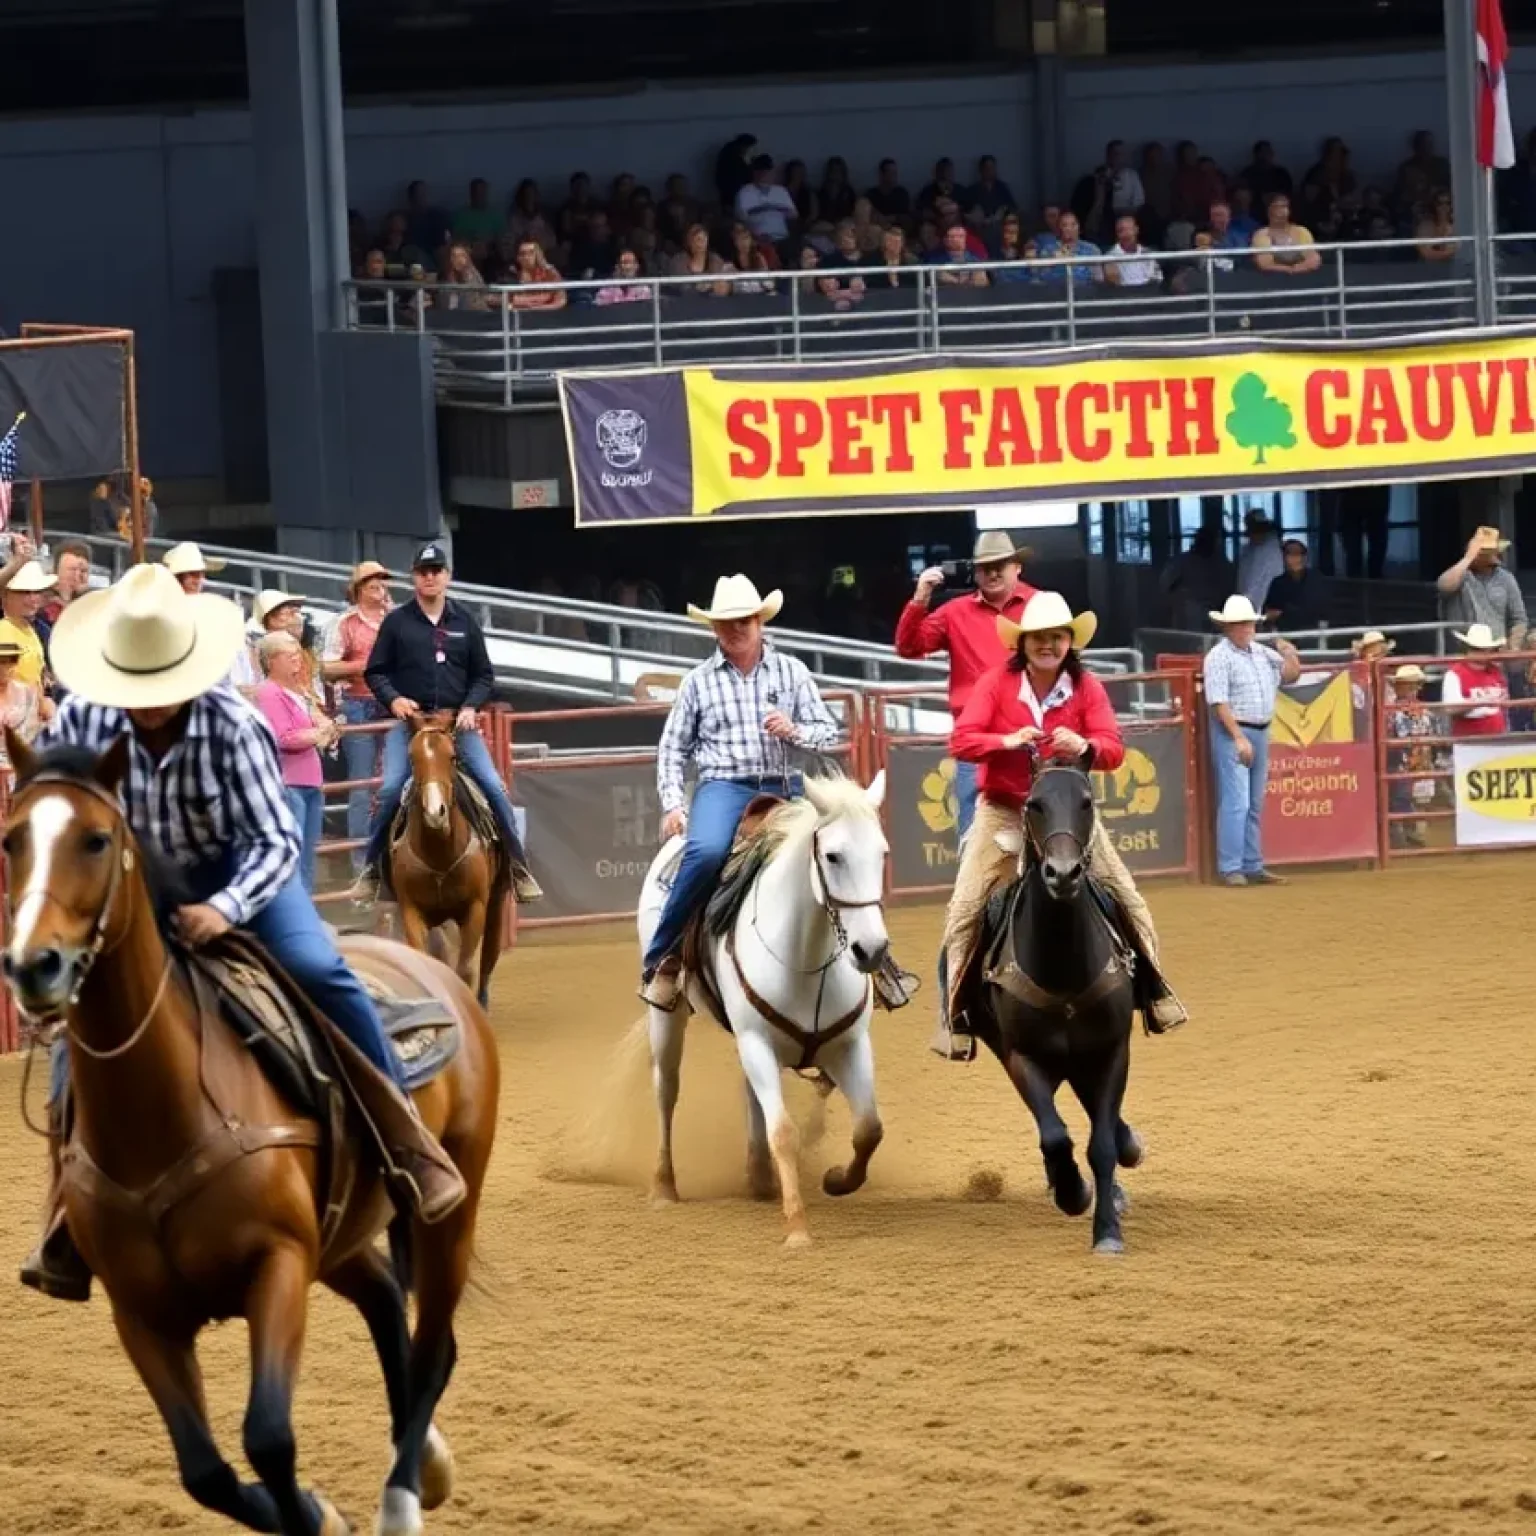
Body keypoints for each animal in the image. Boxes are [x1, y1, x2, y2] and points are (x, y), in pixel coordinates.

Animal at [3, 734, 500, 1536]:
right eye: (12, 840)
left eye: (97, 839)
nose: (33, 964)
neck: (163, 1114)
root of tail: (435, 972)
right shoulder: (139, 1313)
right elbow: (205, 1471)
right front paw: (319, 1512)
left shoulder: (278, 1265)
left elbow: (268, 1436)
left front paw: (319, 1513)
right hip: (342, 1231)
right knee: (385, 1301)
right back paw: (422, 1461)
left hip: (449, 1208)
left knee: (432, 1348)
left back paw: (403, 1494)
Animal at [387, 715, 506, 1007]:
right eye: (412, 757)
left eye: (452, 757)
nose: (435, 813)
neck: (439, 853)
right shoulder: (411, 909)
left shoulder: (475, 908)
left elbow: (464, 970)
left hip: (496, 901)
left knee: (489, 954)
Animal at [638, 774, 897, 1241]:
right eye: (832, 856)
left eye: (882, 853)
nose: (871, 950)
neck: (806, 958)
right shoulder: (756, 1042)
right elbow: (783, 1131)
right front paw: (797, 1228)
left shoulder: (850, 1044)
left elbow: (869, 1128)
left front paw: (837, 1180)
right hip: (668, 1018)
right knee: (666, 1090)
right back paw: (665, 1187)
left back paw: (759, 1178)